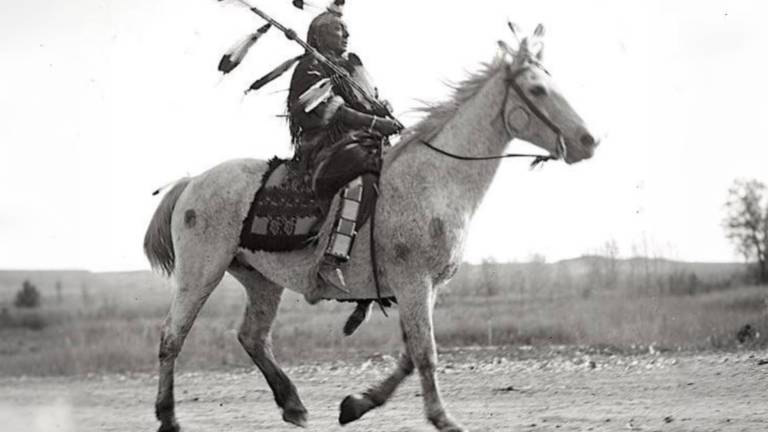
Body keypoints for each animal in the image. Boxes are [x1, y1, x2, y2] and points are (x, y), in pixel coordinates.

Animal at [144, 27, 598, 432]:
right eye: (537, 90)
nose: (587, 141)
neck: (435, 179)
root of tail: (191, 182)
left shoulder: (424, 287)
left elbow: (411, 354)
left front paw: (356, 405)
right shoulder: (414, 283)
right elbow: (425, 353)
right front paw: (443, 418)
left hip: (260, 279)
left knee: (253, 337)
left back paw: (293, 405)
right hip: (201, 272)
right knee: (172, 336)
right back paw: (168, 417)